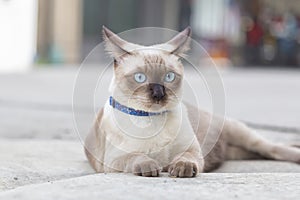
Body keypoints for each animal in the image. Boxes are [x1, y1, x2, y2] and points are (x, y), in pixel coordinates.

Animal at [84, 25, 300, 177]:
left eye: (169, 77)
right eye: (140, 78)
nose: (158, 94)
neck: (154, 120)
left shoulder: (192, 151)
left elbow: (185, 159)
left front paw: (180, 169)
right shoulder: (115, 160)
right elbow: (138, 158)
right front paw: (151, 167)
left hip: (243, 136)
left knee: (273, 149)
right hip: (239, 151)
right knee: (267, 152)